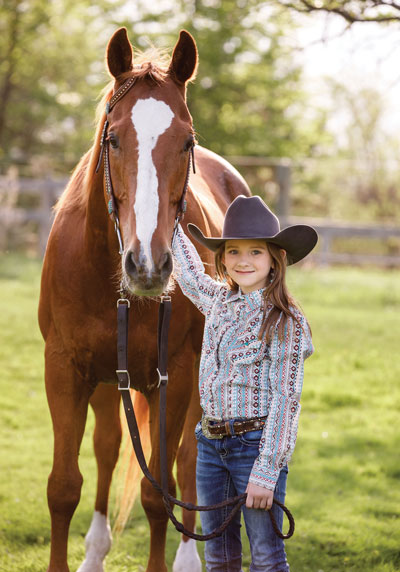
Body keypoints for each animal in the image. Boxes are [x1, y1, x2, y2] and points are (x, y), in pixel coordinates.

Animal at [38, 27, 250, 572]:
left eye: (187, 142)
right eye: (113, 138)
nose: (148, 264)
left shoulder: (170, 377)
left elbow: (160, 493)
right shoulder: (65, 369)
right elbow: (64, 486)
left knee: (189, 461)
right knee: (109, 446)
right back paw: (95, 552)